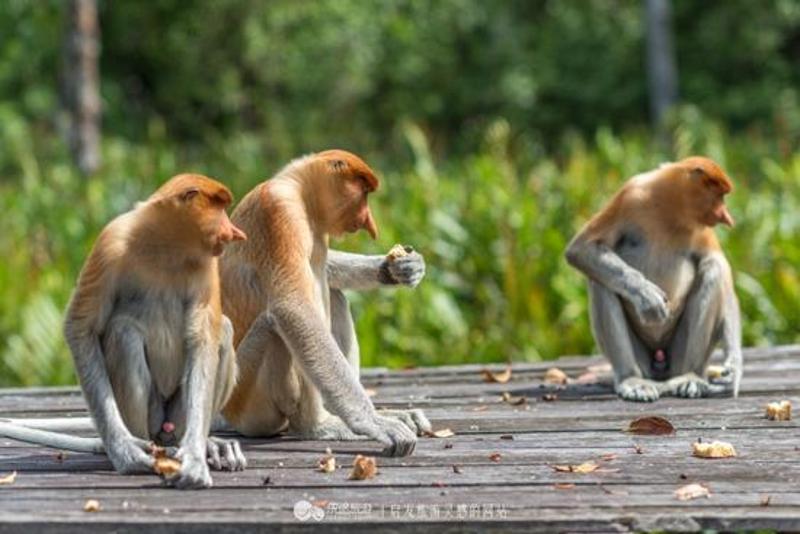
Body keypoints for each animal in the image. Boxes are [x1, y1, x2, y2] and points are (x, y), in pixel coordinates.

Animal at [0, 174, 247, 488]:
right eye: (219, 208)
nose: (235, 232)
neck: (167, 247)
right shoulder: (111, 242)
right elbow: (81, 327)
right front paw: (125, 451)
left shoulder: (207, 264)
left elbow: (202, 338)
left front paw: (194, 458)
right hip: (149, 416)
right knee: (124, 333)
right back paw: (148, 446)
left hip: (178, 415)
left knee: (223, 331)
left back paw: (196, 444)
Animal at [217, 150, 432, 456]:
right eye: (363, 192)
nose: (369, 221)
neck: (299, 192)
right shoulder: (278, 212)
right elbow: (294, 307)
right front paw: (374, 423)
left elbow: (327, 269)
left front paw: (400, 268)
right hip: (245, 393)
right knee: (276, 324)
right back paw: (320, 426)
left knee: (335, 295)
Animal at [564, 157, 744, 404]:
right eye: (719, 195)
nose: (726, 217)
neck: (670, 209)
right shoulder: (630, 196)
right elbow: (582, 248)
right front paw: (647, 296)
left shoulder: (702, 229)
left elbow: (721, 270)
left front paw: (734, 368)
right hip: (643, 359)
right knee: (600, 282)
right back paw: (633, 380)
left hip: (677, 355)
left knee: (713, 270)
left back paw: (691, 377)